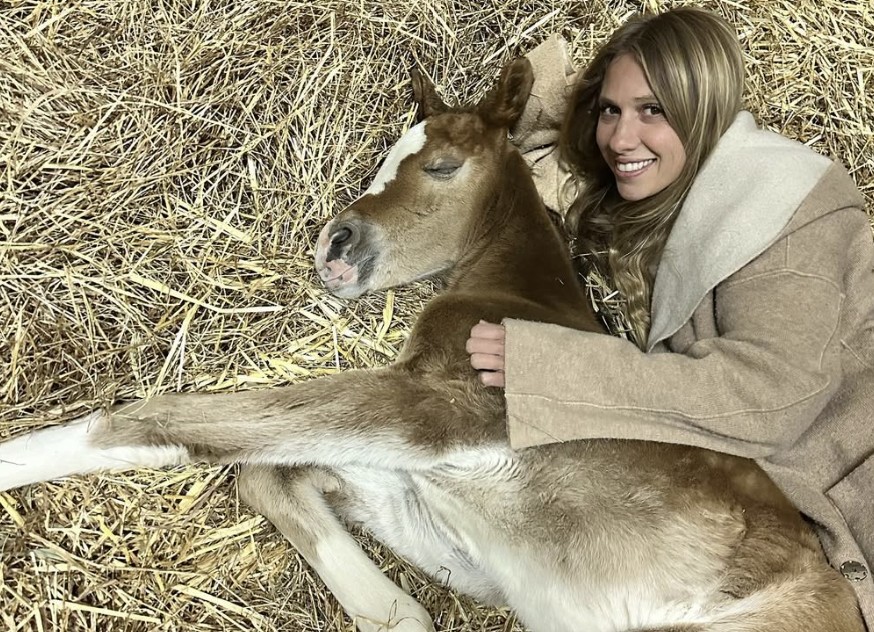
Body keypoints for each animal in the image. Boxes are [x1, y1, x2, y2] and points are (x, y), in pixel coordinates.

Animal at [0, 58, 863, 632]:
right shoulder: (440, 509)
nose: (335, 244)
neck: (517, 301)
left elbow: (165, 421)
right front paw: (393, 608)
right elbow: (264, 472)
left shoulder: (434, 411)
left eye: (442, 165)